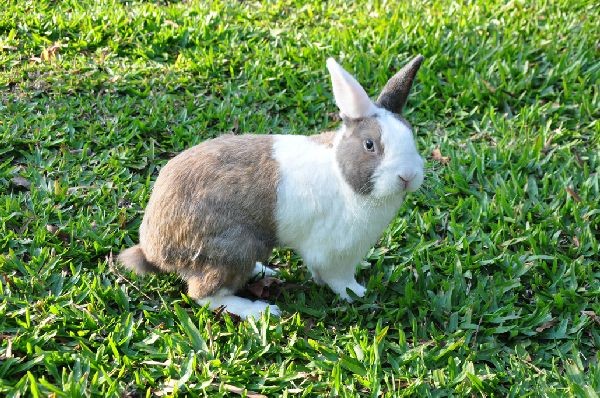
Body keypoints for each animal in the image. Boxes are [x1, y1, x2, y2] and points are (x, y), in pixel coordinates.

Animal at [118, 54, 426, 318]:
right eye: (370, 145)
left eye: (411, 135)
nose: (408, 176)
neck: (342, 175)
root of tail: (153, 250)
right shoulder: (335, 253)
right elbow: (338, 279)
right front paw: (358, 293)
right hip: (231, 248)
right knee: (204, 295)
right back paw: (260, 311)